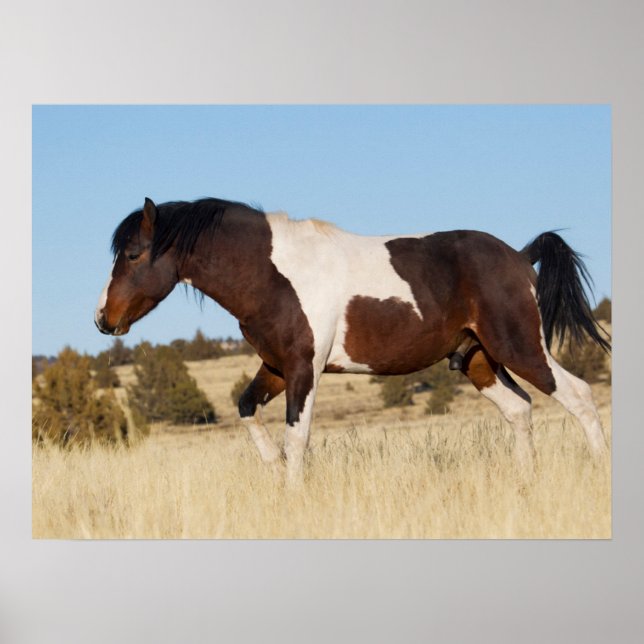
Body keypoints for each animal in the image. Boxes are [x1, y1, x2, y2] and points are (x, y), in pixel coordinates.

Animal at [95, 196, 610, 483]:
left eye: (134, 253)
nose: (103, 318)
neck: (273, 274)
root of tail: (520, 257)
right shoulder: (276, 367)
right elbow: (246, 410)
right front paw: (273, 471)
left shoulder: (304, 369)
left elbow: (297, 437)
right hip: (478, 361)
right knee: (520, 411)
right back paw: (526, 482)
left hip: (520, 347)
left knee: (579, 395)